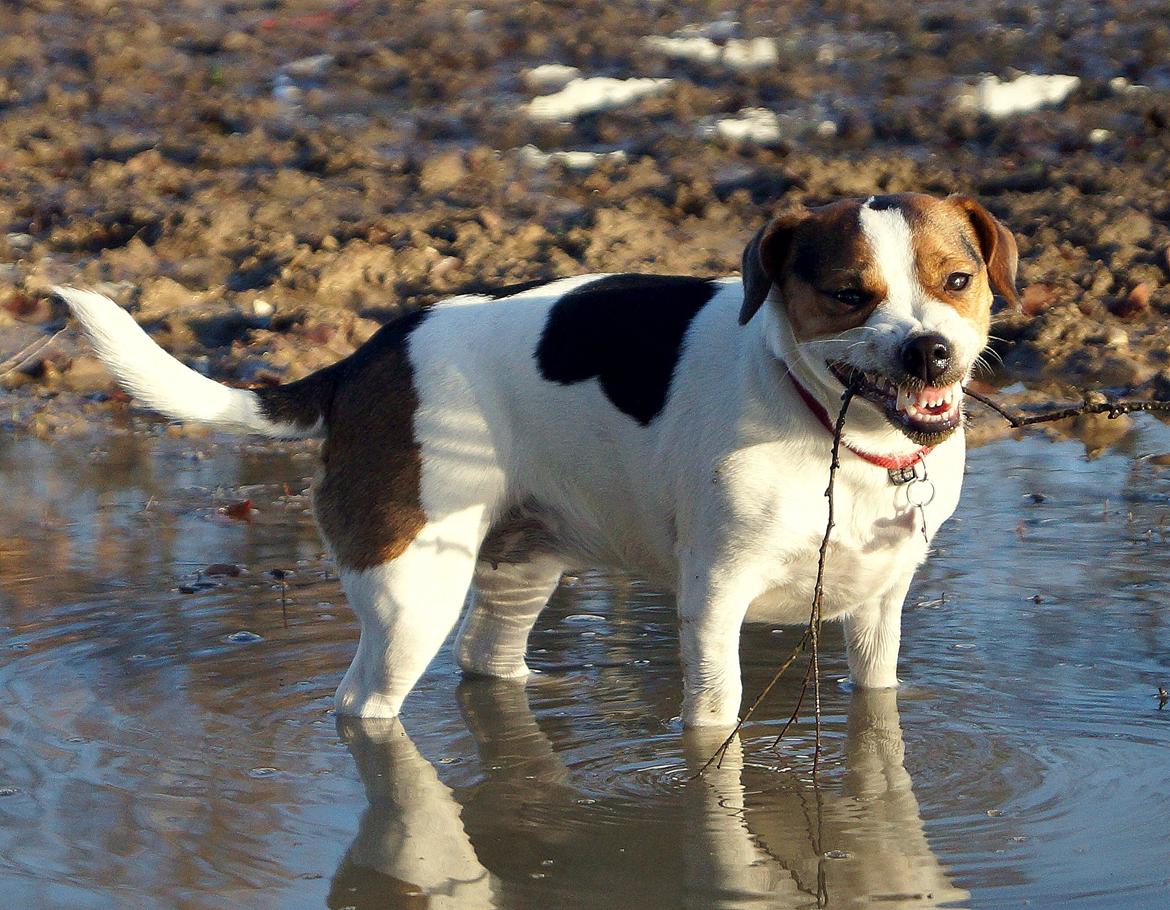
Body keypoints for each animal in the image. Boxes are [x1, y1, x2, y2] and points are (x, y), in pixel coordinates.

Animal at [59, 191, 1020, 725]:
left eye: (957, 280)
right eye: (849, 294)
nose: (930, 352)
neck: (830, 428)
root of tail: (370, 355)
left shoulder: (880, 609)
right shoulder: (714, 605)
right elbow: (715, 724)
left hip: (523, 566)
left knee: (489, 662)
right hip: (413, 594)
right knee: (363, 708)